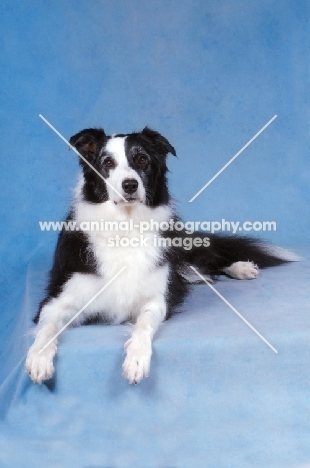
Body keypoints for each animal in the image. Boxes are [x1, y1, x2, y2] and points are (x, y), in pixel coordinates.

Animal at [27, 125, 298, 384]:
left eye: (142, 159)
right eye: (107, 162)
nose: (130, 184)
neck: (126, 227)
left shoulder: (156, 299)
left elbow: (144, 324)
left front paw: (136, 358)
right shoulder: (57, 301)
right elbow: (47, 328)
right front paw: (39, 357)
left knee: (210, 256)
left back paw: (240, 268)